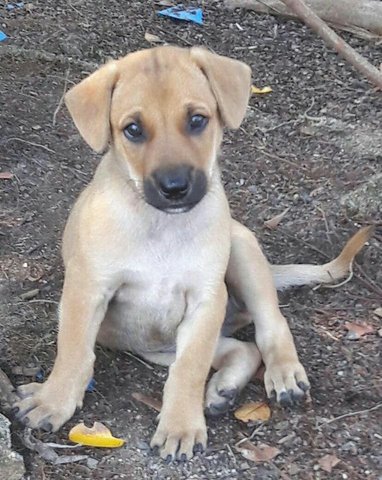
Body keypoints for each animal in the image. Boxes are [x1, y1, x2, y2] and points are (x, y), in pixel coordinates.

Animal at [14, 46, 370, 462]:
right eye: (132, 129)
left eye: (197, 120)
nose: (175, 187)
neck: (161, 226)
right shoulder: (87, 290)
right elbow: (73, 352)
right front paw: (53, 401)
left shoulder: (205, 301)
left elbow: (189, 369)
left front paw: (181, 426)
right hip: (158, 346)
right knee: (243, 349)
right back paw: (222, 389)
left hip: (242, 252)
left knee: (270, 327)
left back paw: (282, 374)